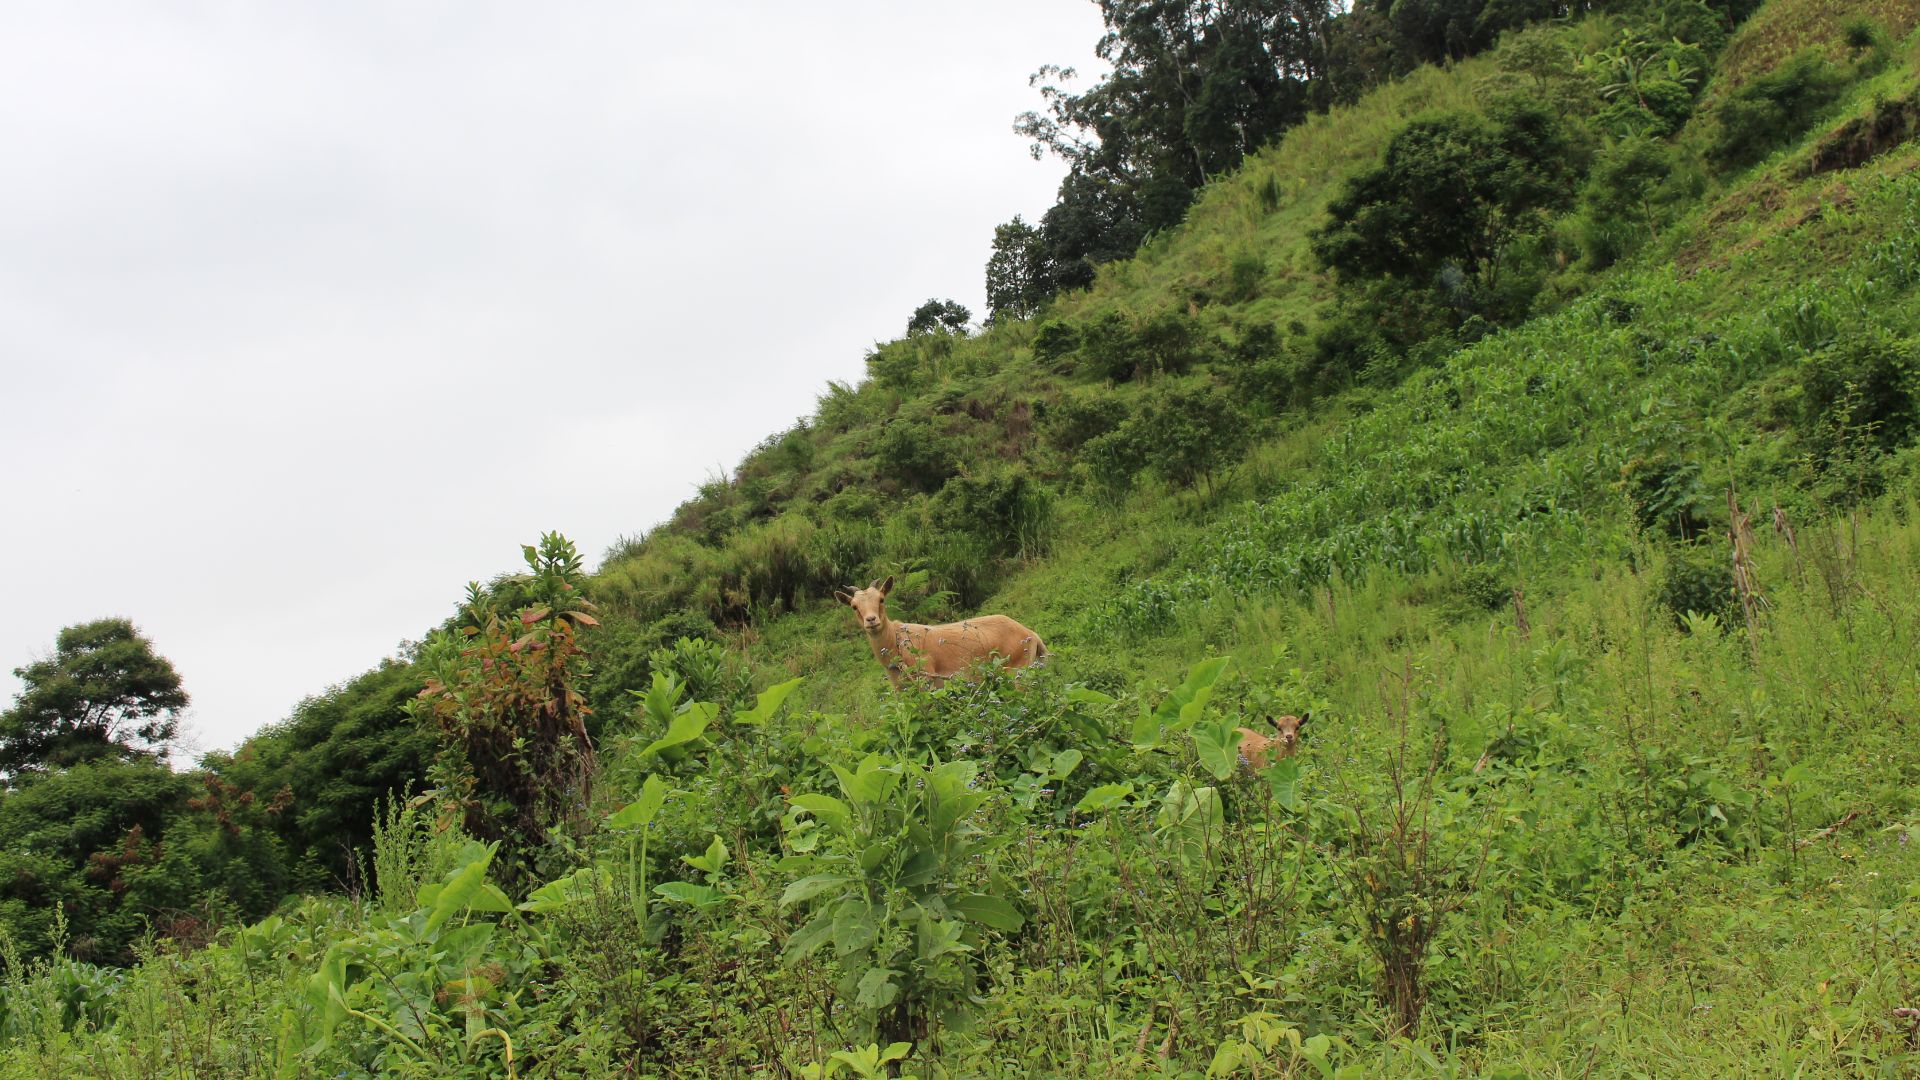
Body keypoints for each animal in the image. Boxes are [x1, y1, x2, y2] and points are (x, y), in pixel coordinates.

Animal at [834, 575, 1047, 690]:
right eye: (854, 606)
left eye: (881, 599)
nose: (871, 620)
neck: (897, 641)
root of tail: (1031, 635)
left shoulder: (927, 678)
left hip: (1017, 671)